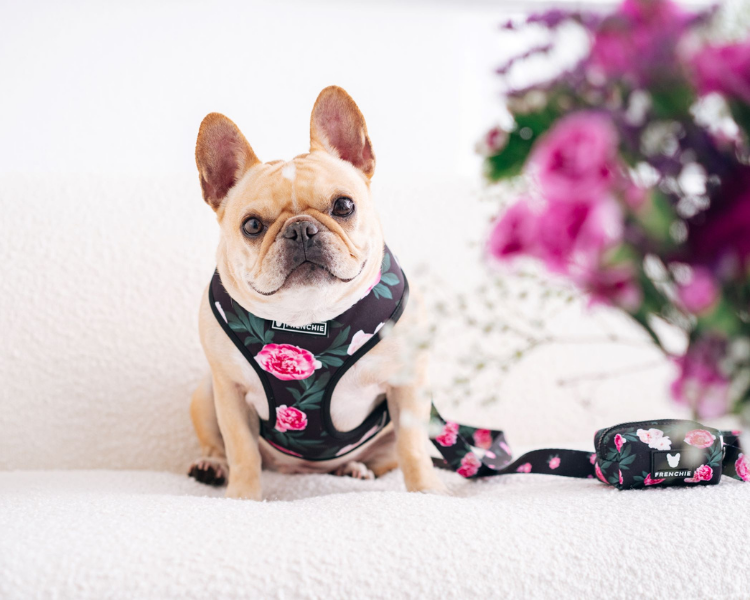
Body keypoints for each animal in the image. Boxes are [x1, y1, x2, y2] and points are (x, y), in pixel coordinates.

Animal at [187, 86, 445, 500]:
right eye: (252, 226)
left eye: (343, 205)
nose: (300, 229)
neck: (306, 316)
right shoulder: (229, 392)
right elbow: (241, 450)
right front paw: (242, 497)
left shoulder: (407, 387)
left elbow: (413, 448)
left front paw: (426, 492)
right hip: (205, 394)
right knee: (219, 446)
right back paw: (211, 466)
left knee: (386, 455)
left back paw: (355, 468)